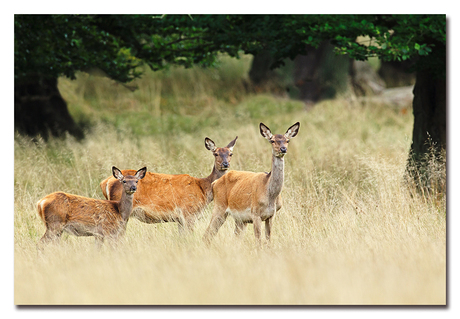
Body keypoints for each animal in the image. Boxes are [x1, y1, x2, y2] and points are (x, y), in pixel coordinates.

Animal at [99, 136, 239, 231]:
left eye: (230, 153)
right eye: (216, 153)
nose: (225, 164)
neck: (204, 189)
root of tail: (106, 182)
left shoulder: (180, 220)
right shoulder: (188, 214)